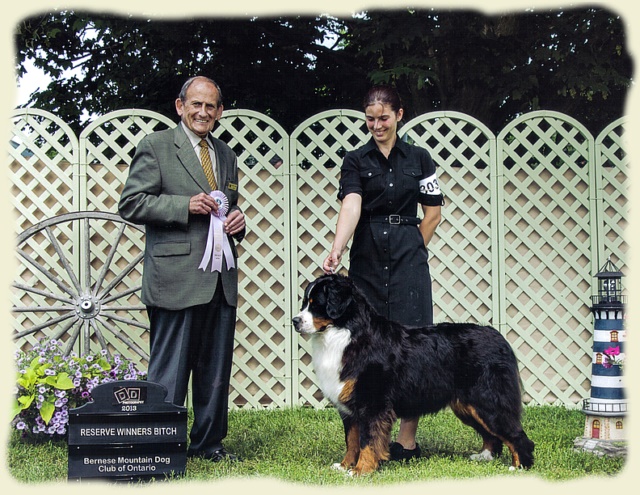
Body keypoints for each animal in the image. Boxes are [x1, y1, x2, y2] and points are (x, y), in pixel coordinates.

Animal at [292, 276, 532, 476]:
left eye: (316, 303)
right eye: (305, 302)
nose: (295, 321)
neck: (345, 334)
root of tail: (499, 337)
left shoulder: (371, 404)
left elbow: (367, 441)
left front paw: (361, 470)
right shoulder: (349, 408)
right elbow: (351, 441)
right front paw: (344, 466)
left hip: (488, 401)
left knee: (517, 435)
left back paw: (520, 467)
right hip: (468, 406)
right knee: (492, 435)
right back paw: (485, 456)